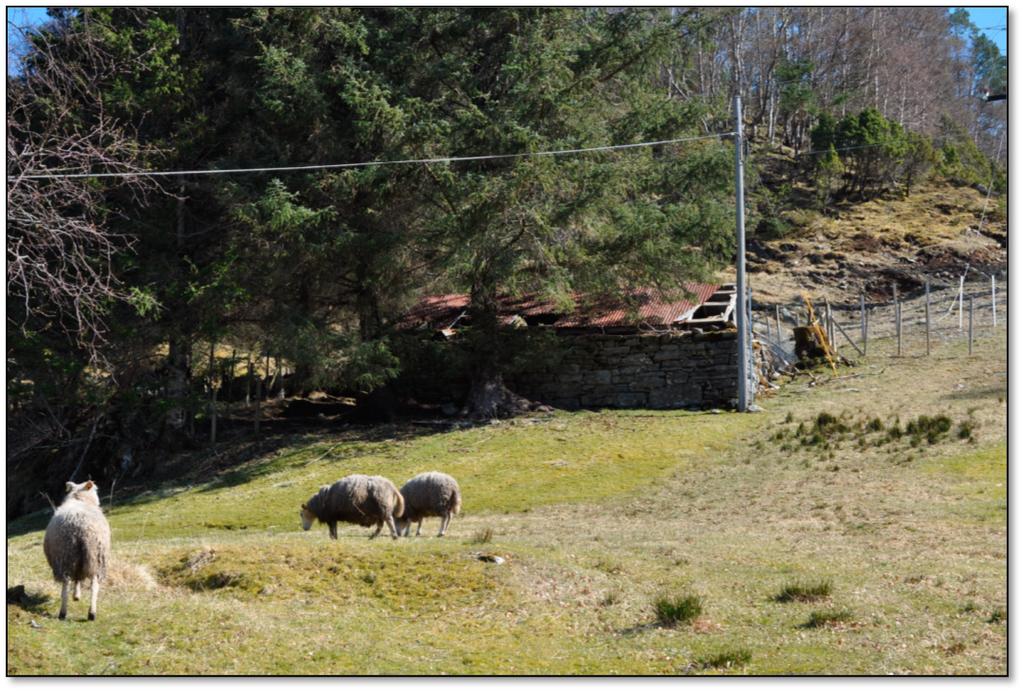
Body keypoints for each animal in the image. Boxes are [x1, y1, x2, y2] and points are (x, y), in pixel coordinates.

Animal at [41, 481, 110, 622]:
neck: (79, 499)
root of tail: (80, 525)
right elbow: (78, 578)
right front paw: (76, 596)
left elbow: (77, 578)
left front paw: (76, 596)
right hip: (91, 557)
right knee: (93, 584)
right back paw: (89, 613)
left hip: (69, 555)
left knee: (68, 582)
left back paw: (67, 612)